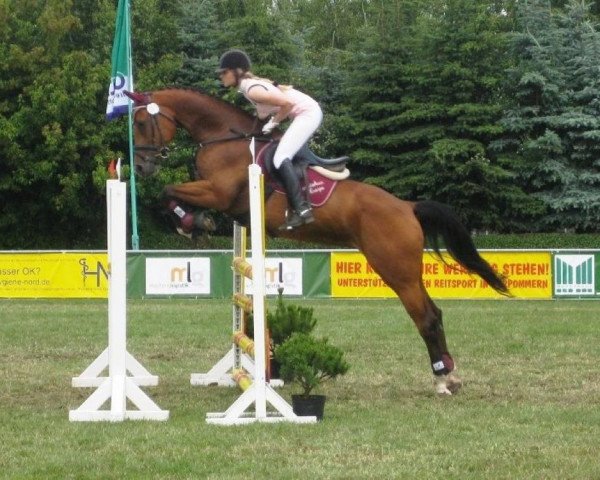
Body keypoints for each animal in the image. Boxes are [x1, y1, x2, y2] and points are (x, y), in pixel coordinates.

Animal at [124, 88, 508, 396]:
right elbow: (172, 194)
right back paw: (450, 376)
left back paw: (442, 380)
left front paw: (191, 223)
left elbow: (168, 191)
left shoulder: (218, 192)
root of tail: (407, 207)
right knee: (434, 313)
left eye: (141, 122)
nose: (141, 167)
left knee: (425, 317)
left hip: (395, 270)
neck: (223, 138)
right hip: (403, 270)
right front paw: (195, 223)